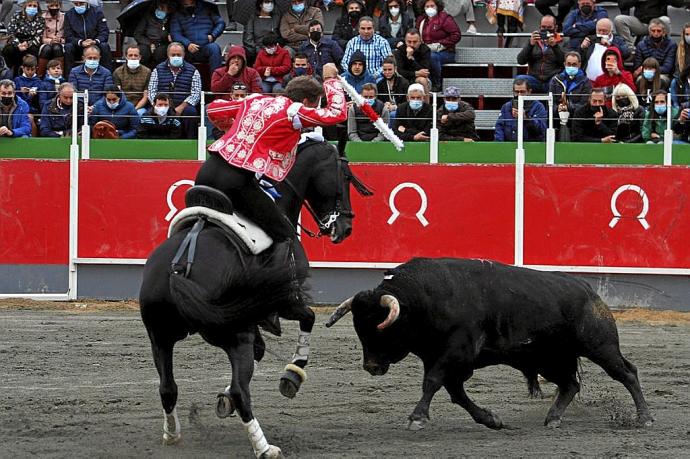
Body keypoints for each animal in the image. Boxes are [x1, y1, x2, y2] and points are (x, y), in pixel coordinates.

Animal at [136, 138, 368, 458]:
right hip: (234, 335)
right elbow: (308, 318)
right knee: (240, 390)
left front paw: (223, 400)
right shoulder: (283, 301)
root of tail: (178, 269)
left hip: (160, 337)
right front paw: (292, 374)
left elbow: (261, 351)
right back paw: (265, 447)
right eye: (344, 177)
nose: (345, 228)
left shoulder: (251, 314)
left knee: (168, 388)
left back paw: (172, 435)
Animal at [326, 258, 652, 432]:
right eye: (359, 329)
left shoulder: (454, 353)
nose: (371, 366)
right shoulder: (443, 359)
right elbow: (455, 394)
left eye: (379, 328)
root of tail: (588, 290)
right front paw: (491, 420)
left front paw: (417, 418)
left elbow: (432, 383)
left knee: (627, 373)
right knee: (570, 384)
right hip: (548, 358)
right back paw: (553, 418)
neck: (424, 299)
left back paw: (644, 417)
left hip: (600, 346)